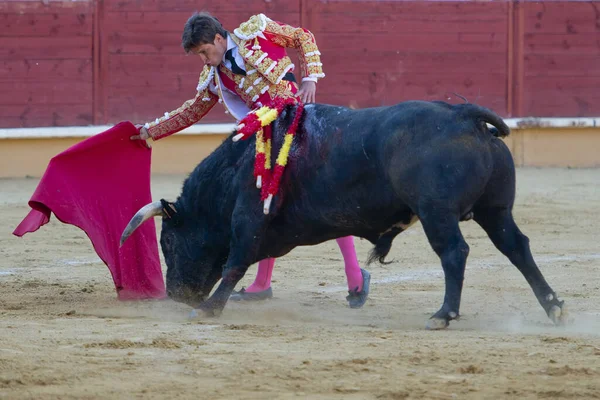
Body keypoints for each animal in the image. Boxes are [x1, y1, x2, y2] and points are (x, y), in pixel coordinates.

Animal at [120, 100, 568, 328]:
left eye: (167, 240)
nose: (177, 293)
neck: (237, 166)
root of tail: (463, 116)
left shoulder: (249, 218)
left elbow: (235, 261)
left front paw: (209, 308)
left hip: (436, 212)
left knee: (454, 253)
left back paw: (443, 314)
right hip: (496, 210)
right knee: (517, 247)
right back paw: (553, 306)